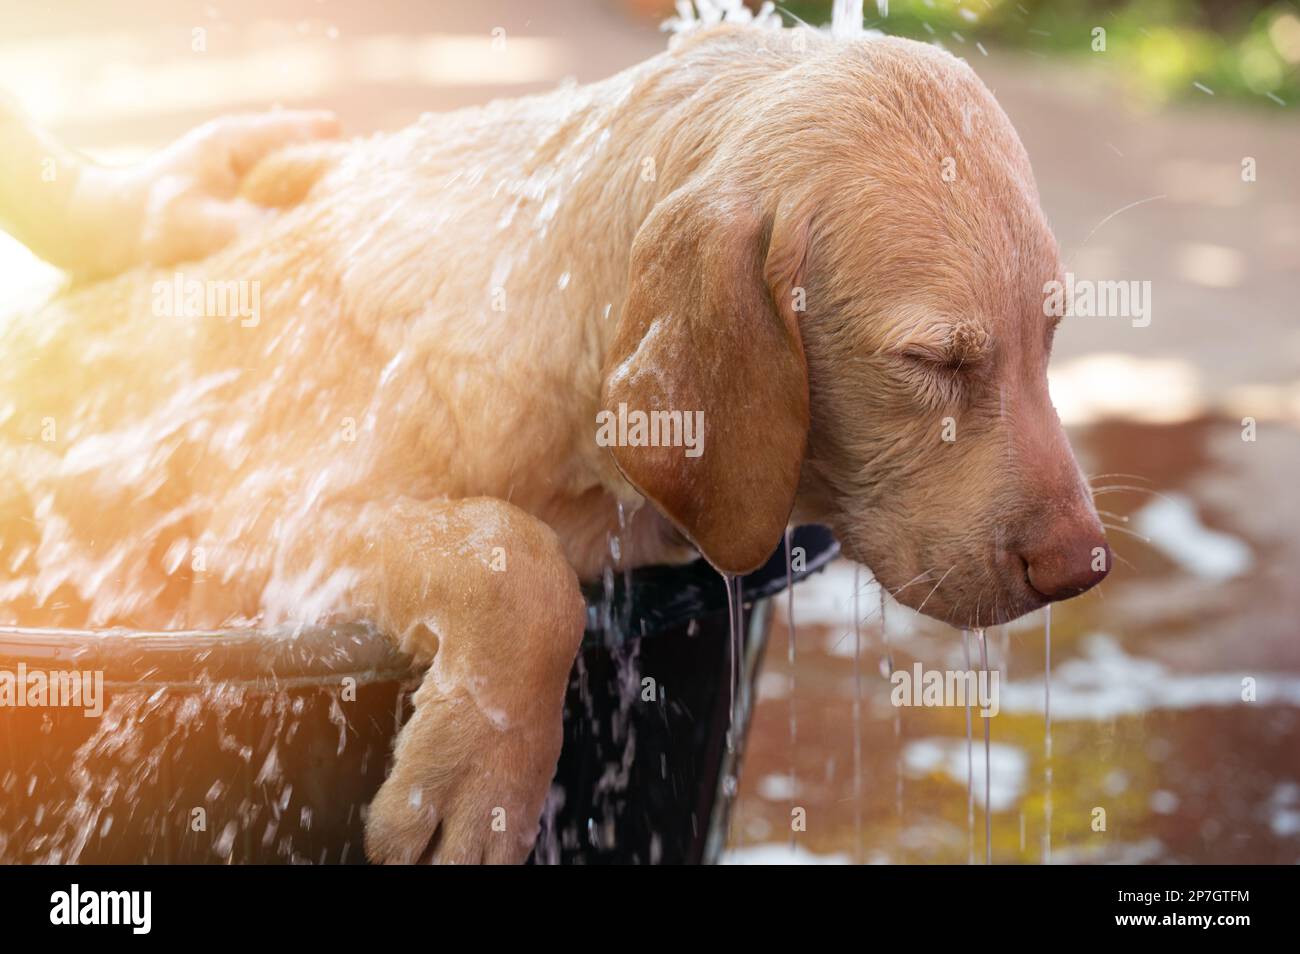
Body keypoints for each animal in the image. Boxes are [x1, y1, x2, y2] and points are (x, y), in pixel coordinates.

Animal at [5, 26, 1112, 868]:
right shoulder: (246, 535)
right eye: (932, 360)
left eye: (1051, 332)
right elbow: (517, 564)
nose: (1084, 566)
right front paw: (485, 784)